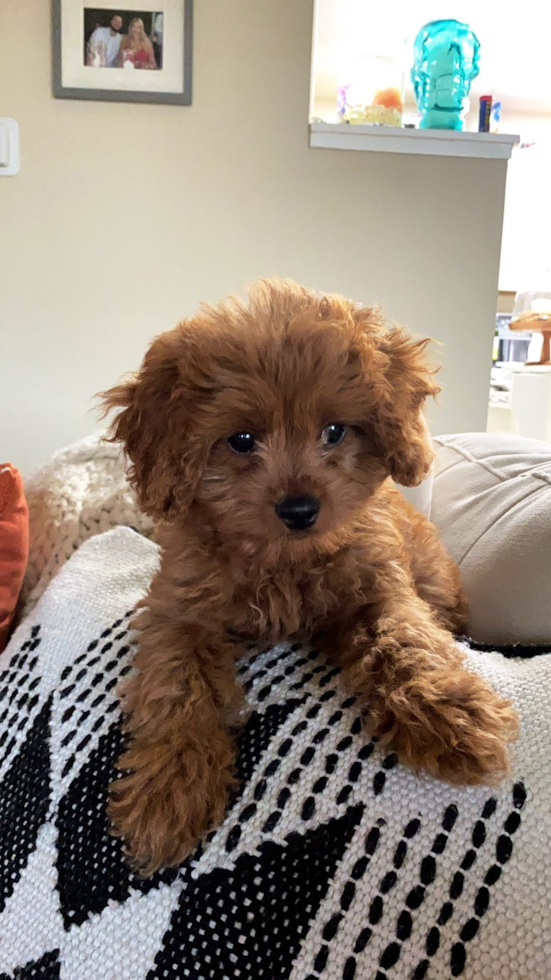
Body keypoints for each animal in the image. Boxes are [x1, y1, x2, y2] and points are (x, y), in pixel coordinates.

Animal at [101, 276, 520, 872]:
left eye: (335, 431)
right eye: (241, 440)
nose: (299, 509)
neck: (283, 558)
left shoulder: (378, 584)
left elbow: (406, 638)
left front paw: (448, 713)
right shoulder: (176, 610)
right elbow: (175, 685)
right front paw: (170, 786)